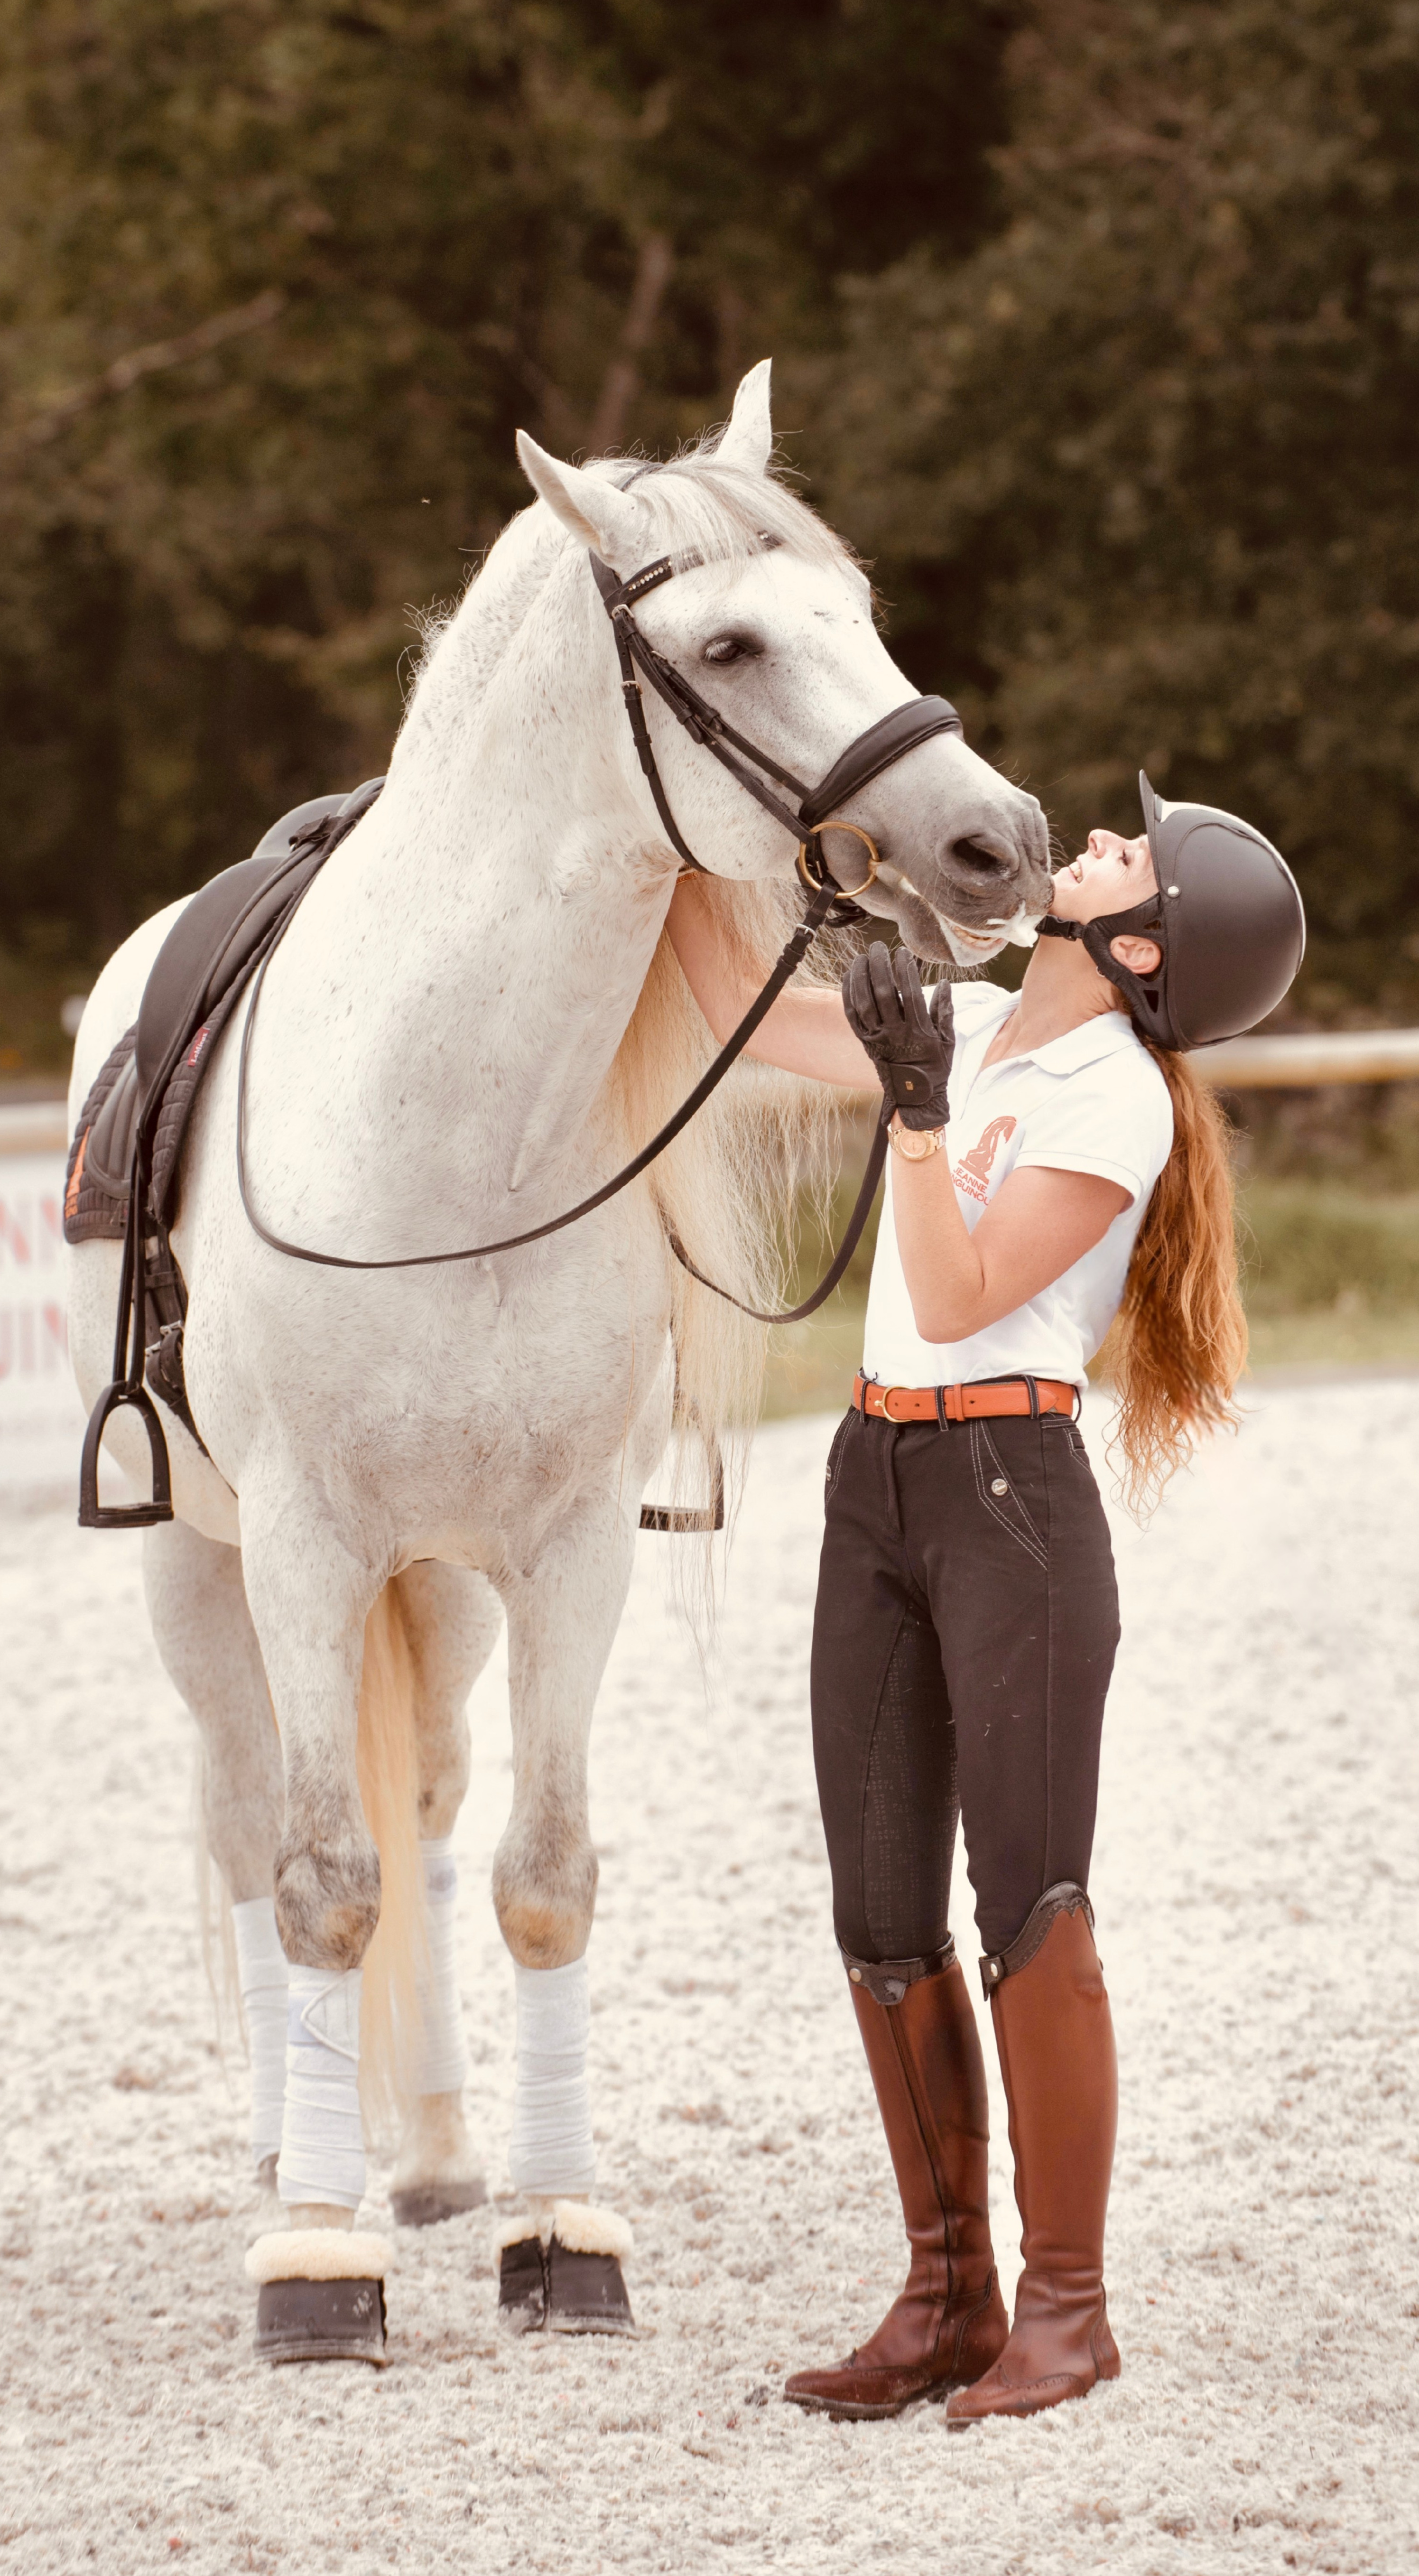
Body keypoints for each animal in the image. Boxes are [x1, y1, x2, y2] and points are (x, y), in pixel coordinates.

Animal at [65, 360, 1052, 2357]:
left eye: (861, 609)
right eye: (733, 642)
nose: (996, 841)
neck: (450, 1122)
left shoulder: (569, 1550)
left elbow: (537, 1876)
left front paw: (553, 2225)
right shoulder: (303, 1551)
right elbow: (320, 1880)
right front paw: (315, 2260)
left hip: (437, 1586)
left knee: (435, 1812)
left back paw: (438, 2153)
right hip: (205, 1574)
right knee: (248, 1826)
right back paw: (288, 2159)